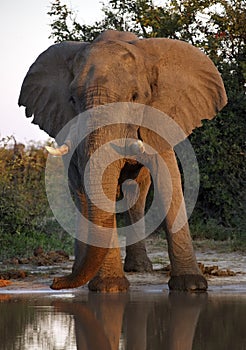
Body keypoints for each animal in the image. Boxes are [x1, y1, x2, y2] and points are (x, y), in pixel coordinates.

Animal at [18, 30, 227, 292]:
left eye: (135, 97)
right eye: (72, 100)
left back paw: (137, 269)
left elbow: (168, 178)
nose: (55, 282)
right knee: (81, 196)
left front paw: (192, 286)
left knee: (136, 193)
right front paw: (110, 288)